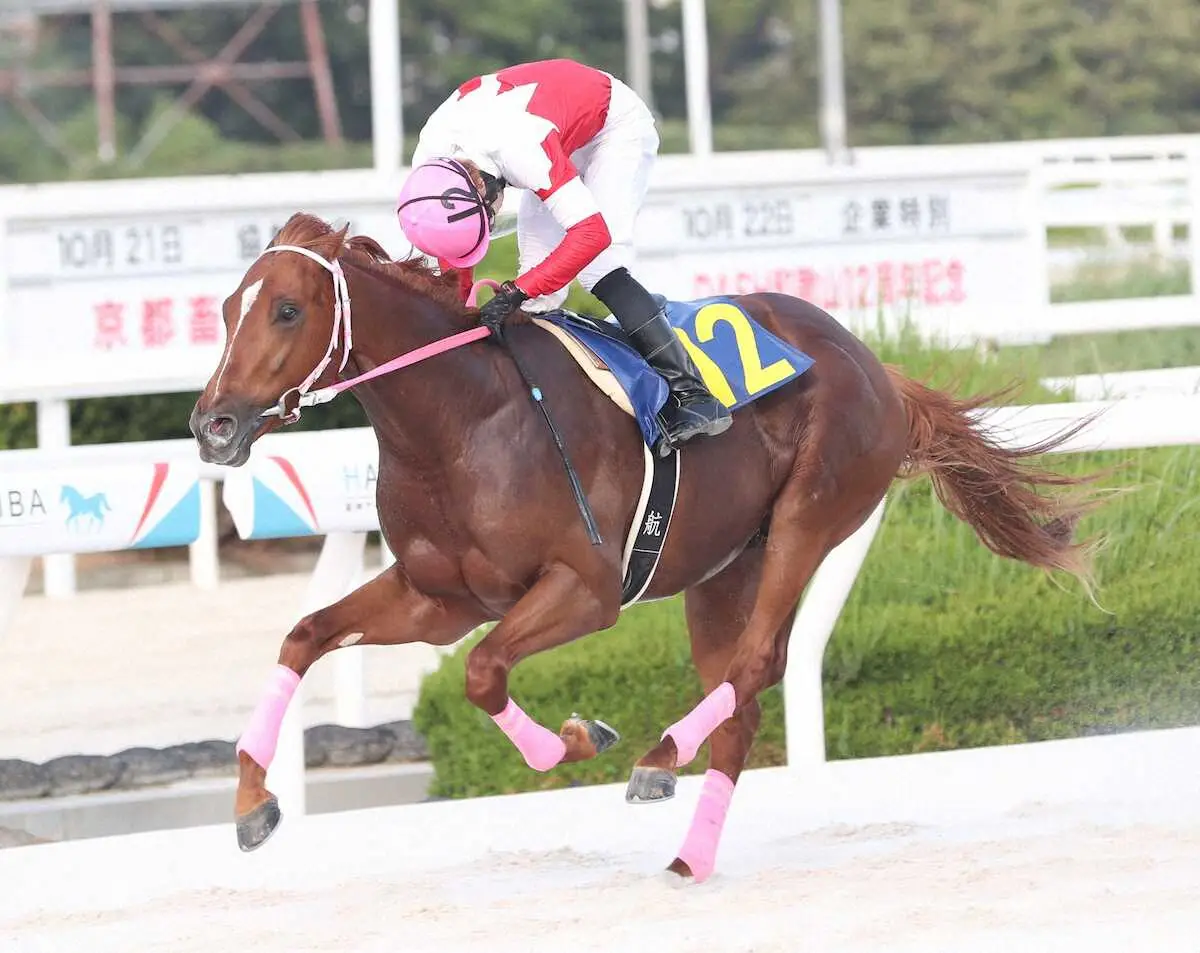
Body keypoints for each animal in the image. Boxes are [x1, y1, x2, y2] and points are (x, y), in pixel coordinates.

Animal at [190, 212, 1104, 882]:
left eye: (287, 310)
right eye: (228, 309)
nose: (213, 425)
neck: (462, 417)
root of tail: (876, 364)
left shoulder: (586, 588)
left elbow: (483, 671)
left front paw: (580, 735)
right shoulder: (438, 599)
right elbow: (305, 634)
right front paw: (251, 802)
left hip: (810, 517)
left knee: (754, 664)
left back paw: (662, 754)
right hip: (722, 566)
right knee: (742, 699)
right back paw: (689, 849)